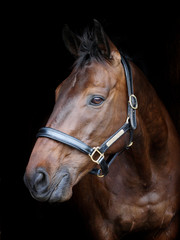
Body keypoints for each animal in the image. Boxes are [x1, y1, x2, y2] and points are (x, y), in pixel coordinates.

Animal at [23, 20, 180, 238]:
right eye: (57, 92)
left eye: (97, 99)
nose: (36, 177)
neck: (147, 176)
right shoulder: (102, 229)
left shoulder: (167, 227)